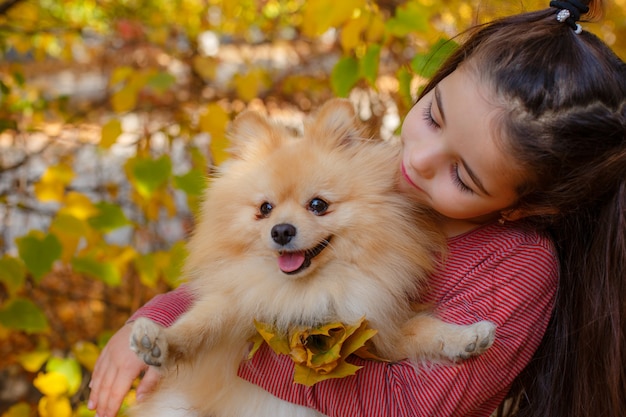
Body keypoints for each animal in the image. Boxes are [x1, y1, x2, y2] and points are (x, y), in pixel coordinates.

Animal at [130, 98, 492, 416]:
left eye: (318, 205)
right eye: (265, 209)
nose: (281, 231)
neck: (307, 291)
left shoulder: (378, 329)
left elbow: (422, 329)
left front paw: (466, 338)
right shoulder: (237, 308)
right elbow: (199, 327)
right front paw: (160, 341)